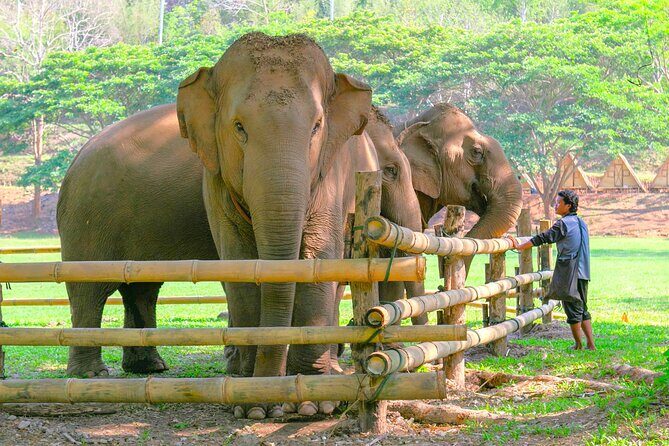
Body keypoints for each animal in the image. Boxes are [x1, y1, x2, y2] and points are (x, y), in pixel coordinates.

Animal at [57, 32, 423, 419]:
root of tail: (78, 155)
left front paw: (313, 401)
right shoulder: (214, 177)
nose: (273, 402)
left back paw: (148, 367)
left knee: (140, 288)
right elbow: (240, 263)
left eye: (317, 127)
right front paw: (252, 400)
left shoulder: (335, 175)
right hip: (86, 218)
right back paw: (92, 375)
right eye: (238, 127)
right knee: (89, 288)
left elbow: (319, 259)